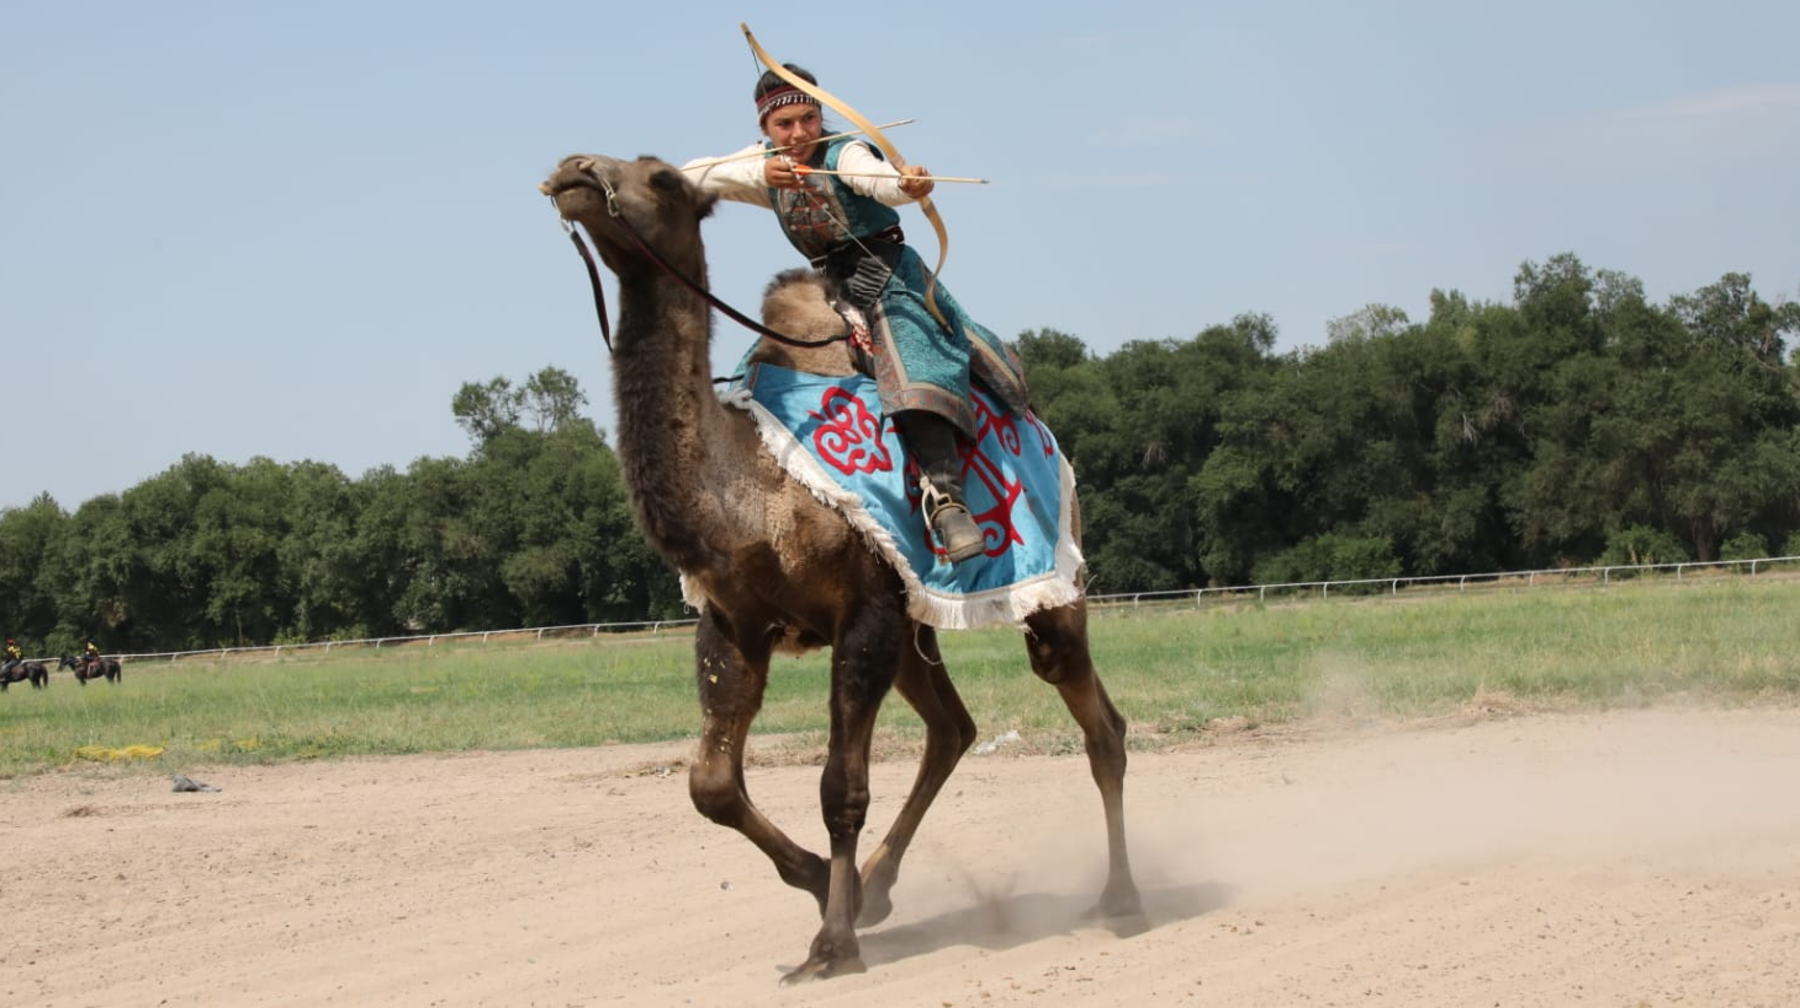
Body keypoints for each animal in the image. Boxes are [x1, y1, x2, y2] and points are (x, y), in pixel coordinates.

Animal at [540, 153, 1144, 979]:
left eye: (660, 178)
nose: (574, 171)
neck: (753, 489)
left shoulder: (862, 615)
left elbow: (839, 789)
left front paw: (831, 944)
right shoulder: (735, 623)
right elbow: (710, 785)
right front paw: (825, 884)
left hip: (1048, 585)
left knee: (1093, 718)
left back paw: (1121, 899)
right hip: (917, 626)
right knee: (953, 728)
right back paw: (879, 885)